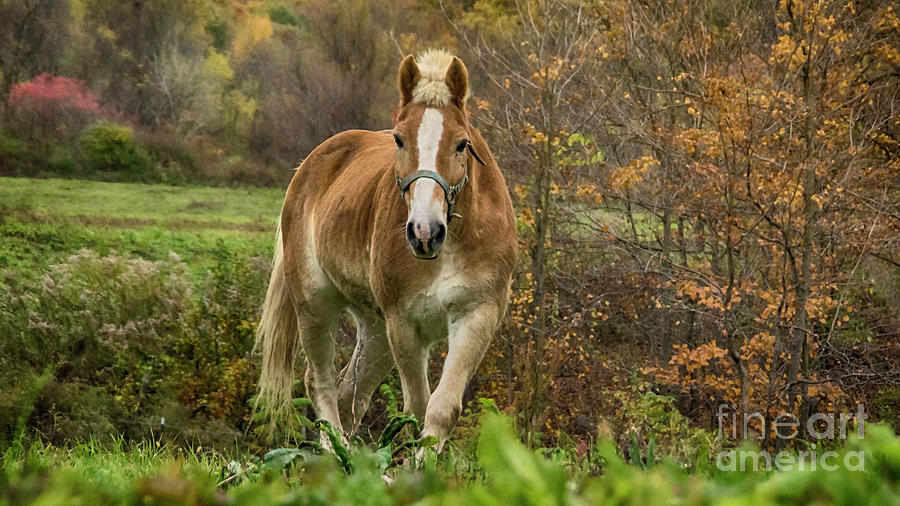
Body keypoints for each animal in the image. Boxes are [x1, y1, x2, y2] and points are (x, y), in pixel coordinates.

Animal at [256, 49, 516, 448]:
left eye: (461, 143)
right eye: (399, 140)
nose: (425, 232)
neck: (451, 245)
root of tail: (309, 167)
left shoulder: (477, 315)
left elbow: (441, 409)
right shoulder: (404, 325)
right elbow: (417, 409)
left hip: (375, 329)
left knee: (350, 396)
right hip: (315, 305)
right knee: (321, 385)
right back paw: (336, 454)